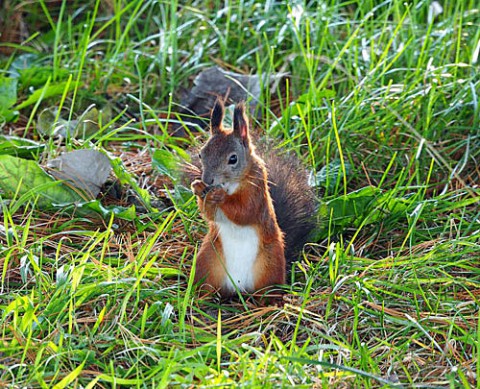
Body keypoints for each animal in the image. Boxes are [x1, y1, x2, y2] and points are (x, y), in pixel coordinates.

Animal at [189, 99, 316, 294]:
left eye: (233, 159)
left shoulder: (257, 192)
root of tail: (239, 287)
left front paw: (220, 196)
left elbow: (245, 212)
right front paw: (198, 188)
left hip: (270, 264)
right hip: (207, 261)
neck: (230, 184)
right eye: (201, 154)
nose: (207, 180)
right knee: (206, 287)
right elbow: (210, 215)